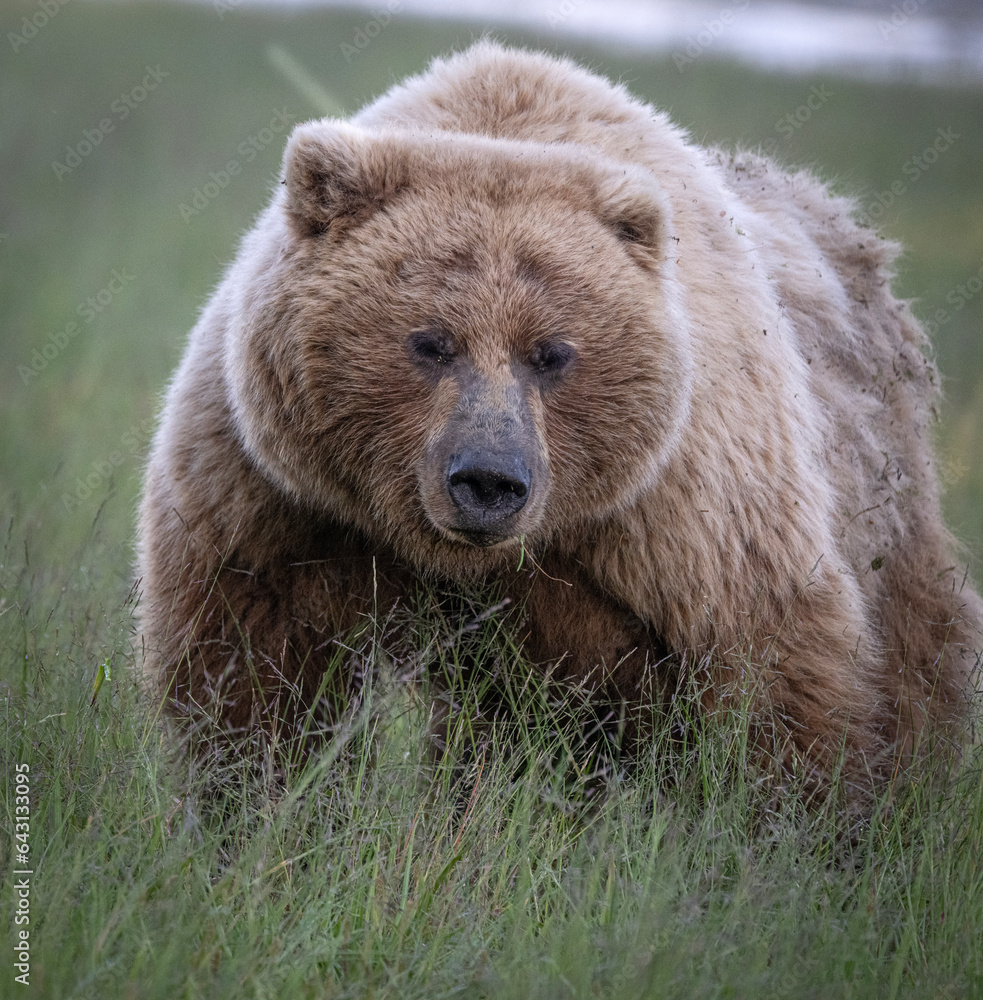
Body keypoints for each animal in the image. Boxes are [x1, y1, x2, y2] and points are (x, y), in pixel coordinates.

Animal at [137, 41, 981, 793]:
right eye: (430, 342)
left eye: (551, 353)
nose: (488, 481)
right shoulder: (284, 496)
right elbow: (255, 679)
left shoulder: (680, 507)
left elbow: (773, 679)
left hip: (885, 501)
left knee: (916, 666)